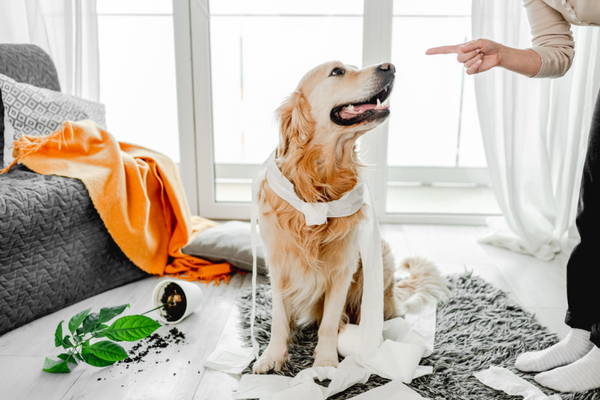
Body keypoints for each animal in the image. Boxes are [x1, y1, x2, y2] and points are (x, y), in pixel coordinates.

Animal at [252, 61, 446, 374]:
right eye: (337, 72)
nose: (390, 66)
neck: (319, 185)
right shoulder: (279, 265)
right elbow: (280, 320)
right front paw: (273, 356)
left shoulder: (342, 269)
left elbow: (329, 322)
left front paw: (326, 362)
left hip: (381, 259)